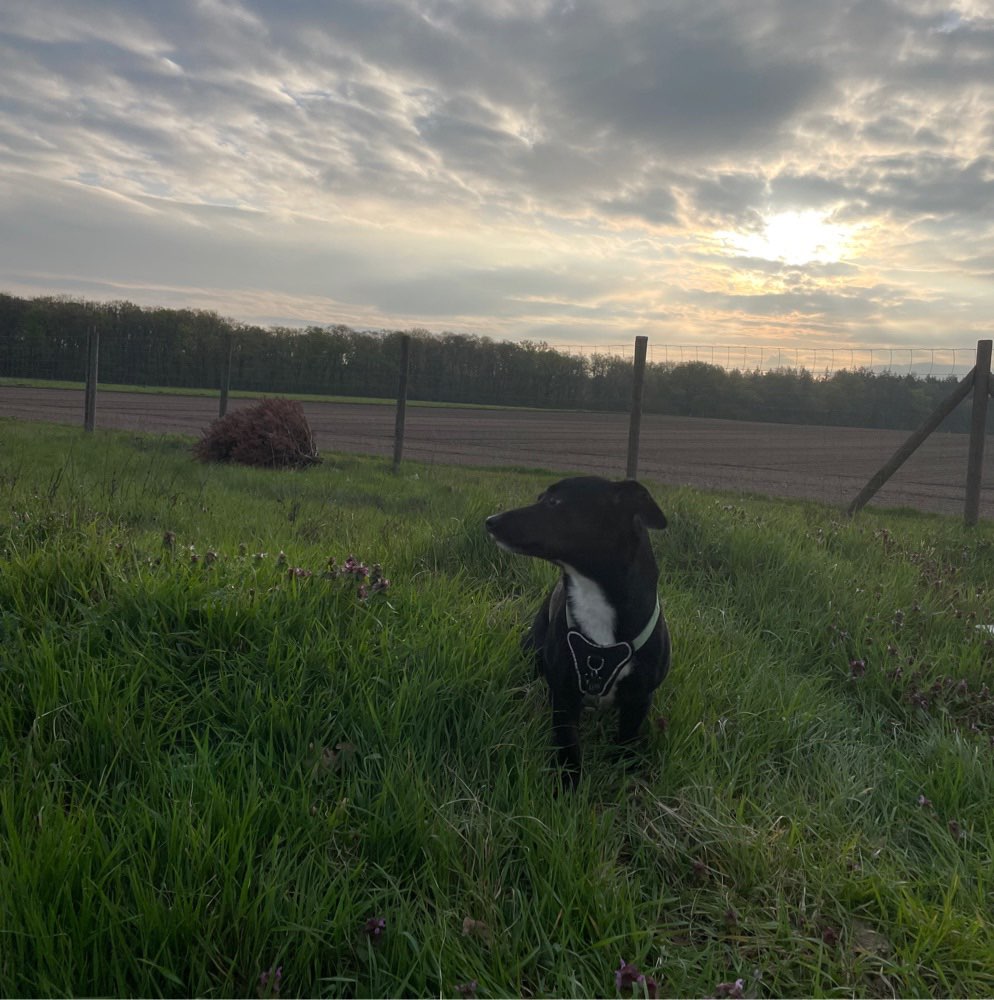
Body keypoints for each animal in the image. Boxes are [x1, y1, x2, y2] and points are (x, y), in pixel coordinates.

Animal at [486, 476, 672, 788]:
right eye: (540, 498)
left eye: (553, 502)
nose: (490, 520)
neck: (593, 595)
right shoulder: (564, 695)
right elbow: (568, 744)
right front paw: (569, 785)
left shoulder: (639, 698)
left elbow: (626, 741)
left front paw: (623, 775)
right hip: (532, 651)